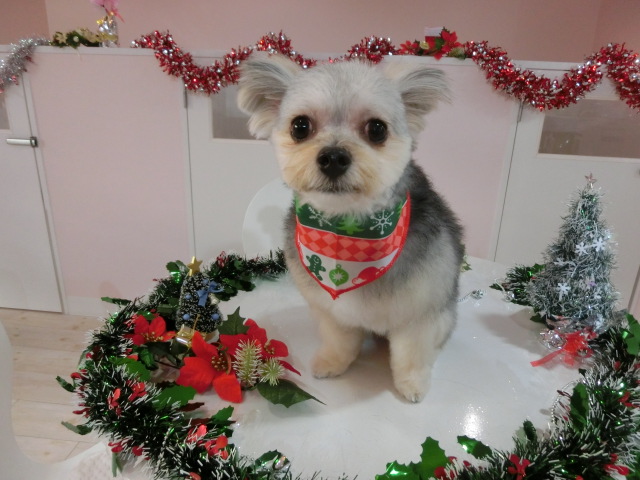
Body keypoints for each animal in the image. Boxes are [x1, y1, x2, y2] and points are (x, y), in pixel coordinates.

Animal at [237, 53, 463, 402]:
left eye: (377, 129)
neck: (347, 231)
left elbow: (412, 353)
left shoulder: (421, 311)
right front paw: (333, 362)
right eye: (300, 126)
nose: (333, 157)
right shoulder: (332, 311)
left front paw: (412, 383)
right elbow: (339, 339)